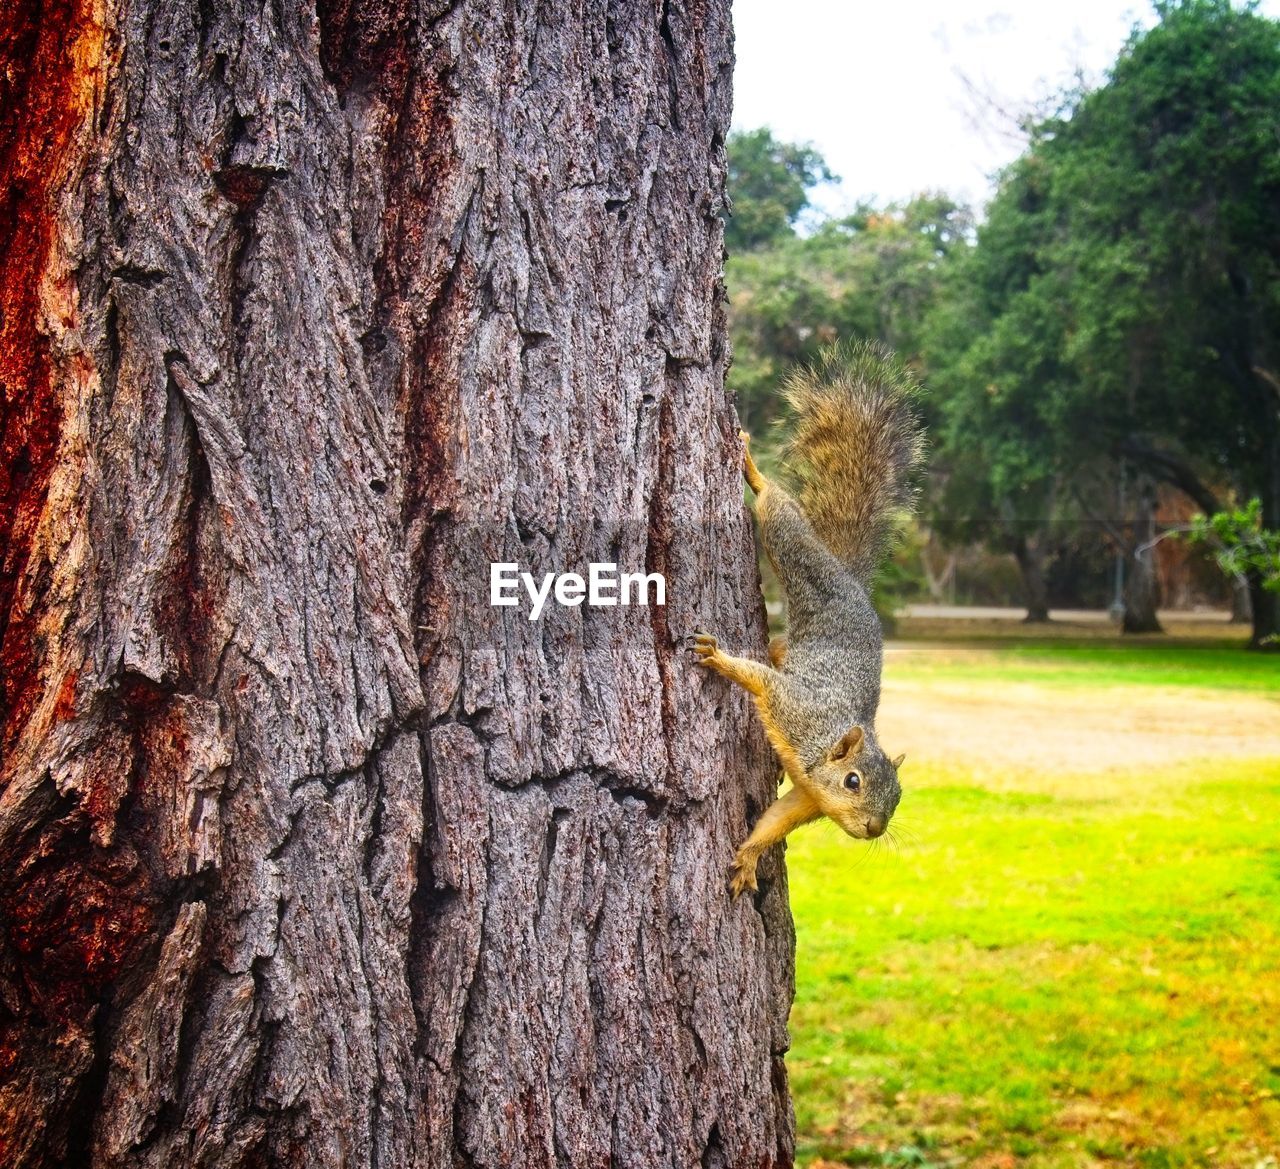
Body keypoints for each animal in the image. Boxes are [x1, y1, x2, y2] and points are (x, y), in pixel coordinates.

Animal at [696, 343, 926, 896]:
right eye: (852, 781)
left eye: (899, 796)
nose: (873, 828)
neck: (821, 751)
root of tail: (848, 579)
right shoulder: (794, 709)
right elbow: (758, 679)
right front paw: (718, 658)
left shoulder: (806, 798)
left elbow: (771, 822)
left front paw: (749, 858)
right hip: (799, 554)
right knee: (778, 510)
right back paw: (753, 470)